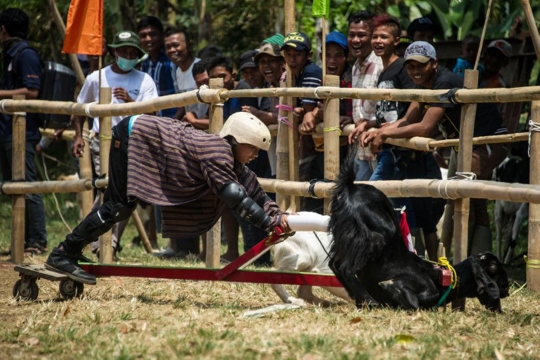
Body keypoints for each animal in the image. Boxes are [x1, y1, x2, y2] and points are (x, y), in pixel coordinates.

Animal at [330, 148, 510, 310]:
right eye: (497, 273)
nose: (507, 290)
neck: (442, 278)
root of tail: (351, 187)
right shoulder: (402, 287)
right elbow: (411, 302)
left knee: (334, 264)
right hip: (375, 236)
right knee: (344, 267)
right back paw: (368, 299)